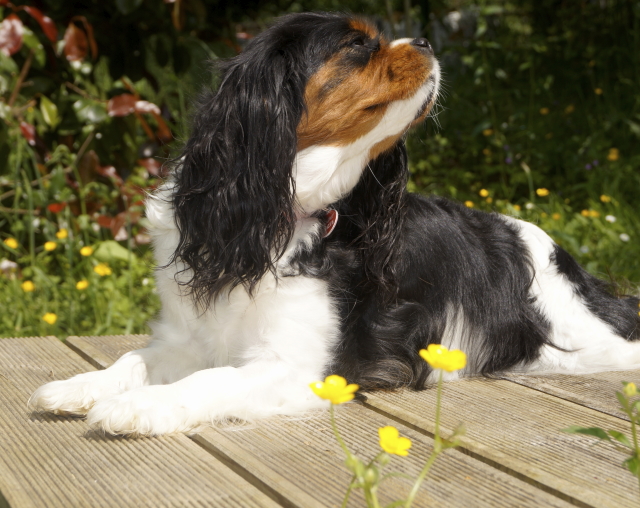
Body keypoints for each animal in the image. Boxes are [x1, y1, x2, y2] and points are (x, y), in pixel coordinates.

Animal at [30, 12, 640, 436]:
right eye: (357, 45)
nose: (425, 42)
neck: (274, 215)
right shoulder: (186, 336)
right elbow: (135, 358)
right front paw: (79, 386)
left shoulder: (295, 366)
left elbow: (211, 379)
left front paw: (138, 407)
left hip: (577, 336)